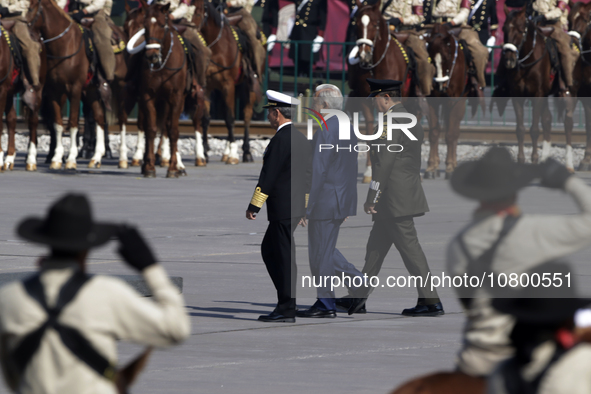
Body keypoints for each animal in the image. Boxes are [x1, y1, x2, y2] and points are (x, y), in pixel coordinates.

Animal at [0, 19, 46, 172]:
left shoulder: (1, 90)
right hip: (9, 93)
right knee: (11, 120)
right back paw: (9, 158)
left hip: (37, 90)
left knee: (33, 121)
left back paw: (31, 159)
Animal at [26, 0, 108, 169]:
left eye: (30, 9)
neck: (63, 46)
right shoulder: (53, 91)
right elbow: (57, 124)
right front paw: (57, 158)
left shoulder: (75, 89)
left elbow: (73, 123)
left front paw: (70, 159)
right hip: (90, 90)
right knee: (99, 116)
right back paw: (96, 157)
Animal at [194, 0, 260, 165]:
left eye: (197, 13)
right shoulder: (207, 86)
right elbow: (206, 118)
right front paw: (205, 152)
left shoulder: (228, 85)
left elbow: (230, 119)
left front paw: (233, 155)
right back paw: (226, 152)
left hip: (246, 88)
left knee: (246, 115)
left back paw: (246, 152)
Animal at [428, 23, 470, 179]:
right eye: (431, 58)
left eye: (447, 57)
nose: (440, 84)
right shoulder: (432, 101)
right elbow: (434, 133)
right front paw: (431, 167)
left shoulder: (454, 101)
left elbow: (450, 134)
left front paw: (450, 166)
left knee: (455, 131)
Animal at [498, 6, 576, 169]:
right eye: (504, 28)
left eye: (521, 29)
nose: (508, 60)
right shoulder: (517, 96)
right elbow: (520, 129)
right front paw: (521, 160)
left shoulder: (537, 95)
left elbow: (534, 129)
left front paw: (533, 159)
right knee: (547, 120)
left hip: (569, 93)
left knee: (568, 123)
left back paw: (569, 164)